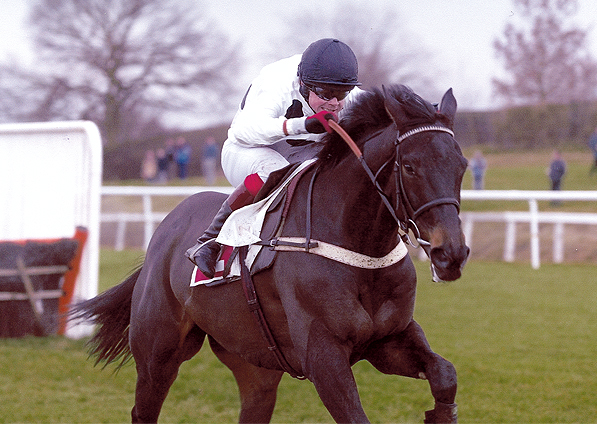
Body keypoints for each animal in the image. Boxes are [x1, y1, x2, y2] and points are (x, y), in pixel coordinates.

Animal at [71, 84, 470, 422]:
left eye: (461, 165)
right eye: (409, 166)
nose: (450, 254)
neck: (360, 248)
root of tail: (165, 231)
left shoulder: (389, 339)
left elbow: (446, 374)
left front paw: (440, 414)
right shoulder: (323, 356)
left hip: (254, 363)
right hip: (158, 353)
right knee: (144, 409)